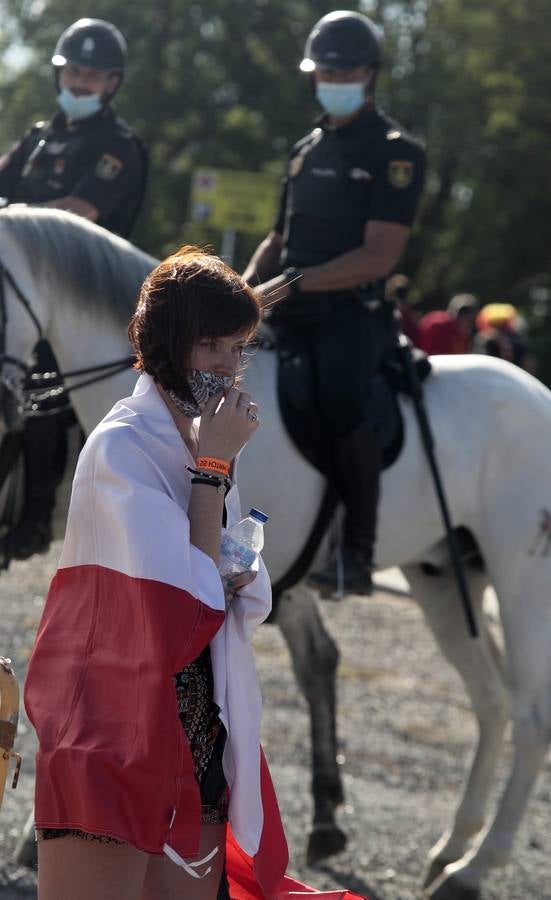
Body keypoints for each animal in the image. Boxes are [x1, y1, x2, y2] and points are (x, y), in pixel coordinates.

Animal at [1, 207, 551, 896]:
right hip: (443, 578)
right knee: (492, 700)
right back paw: (453, 845)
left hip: (522, 579)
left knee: (529, 715)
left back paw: (475, 866)